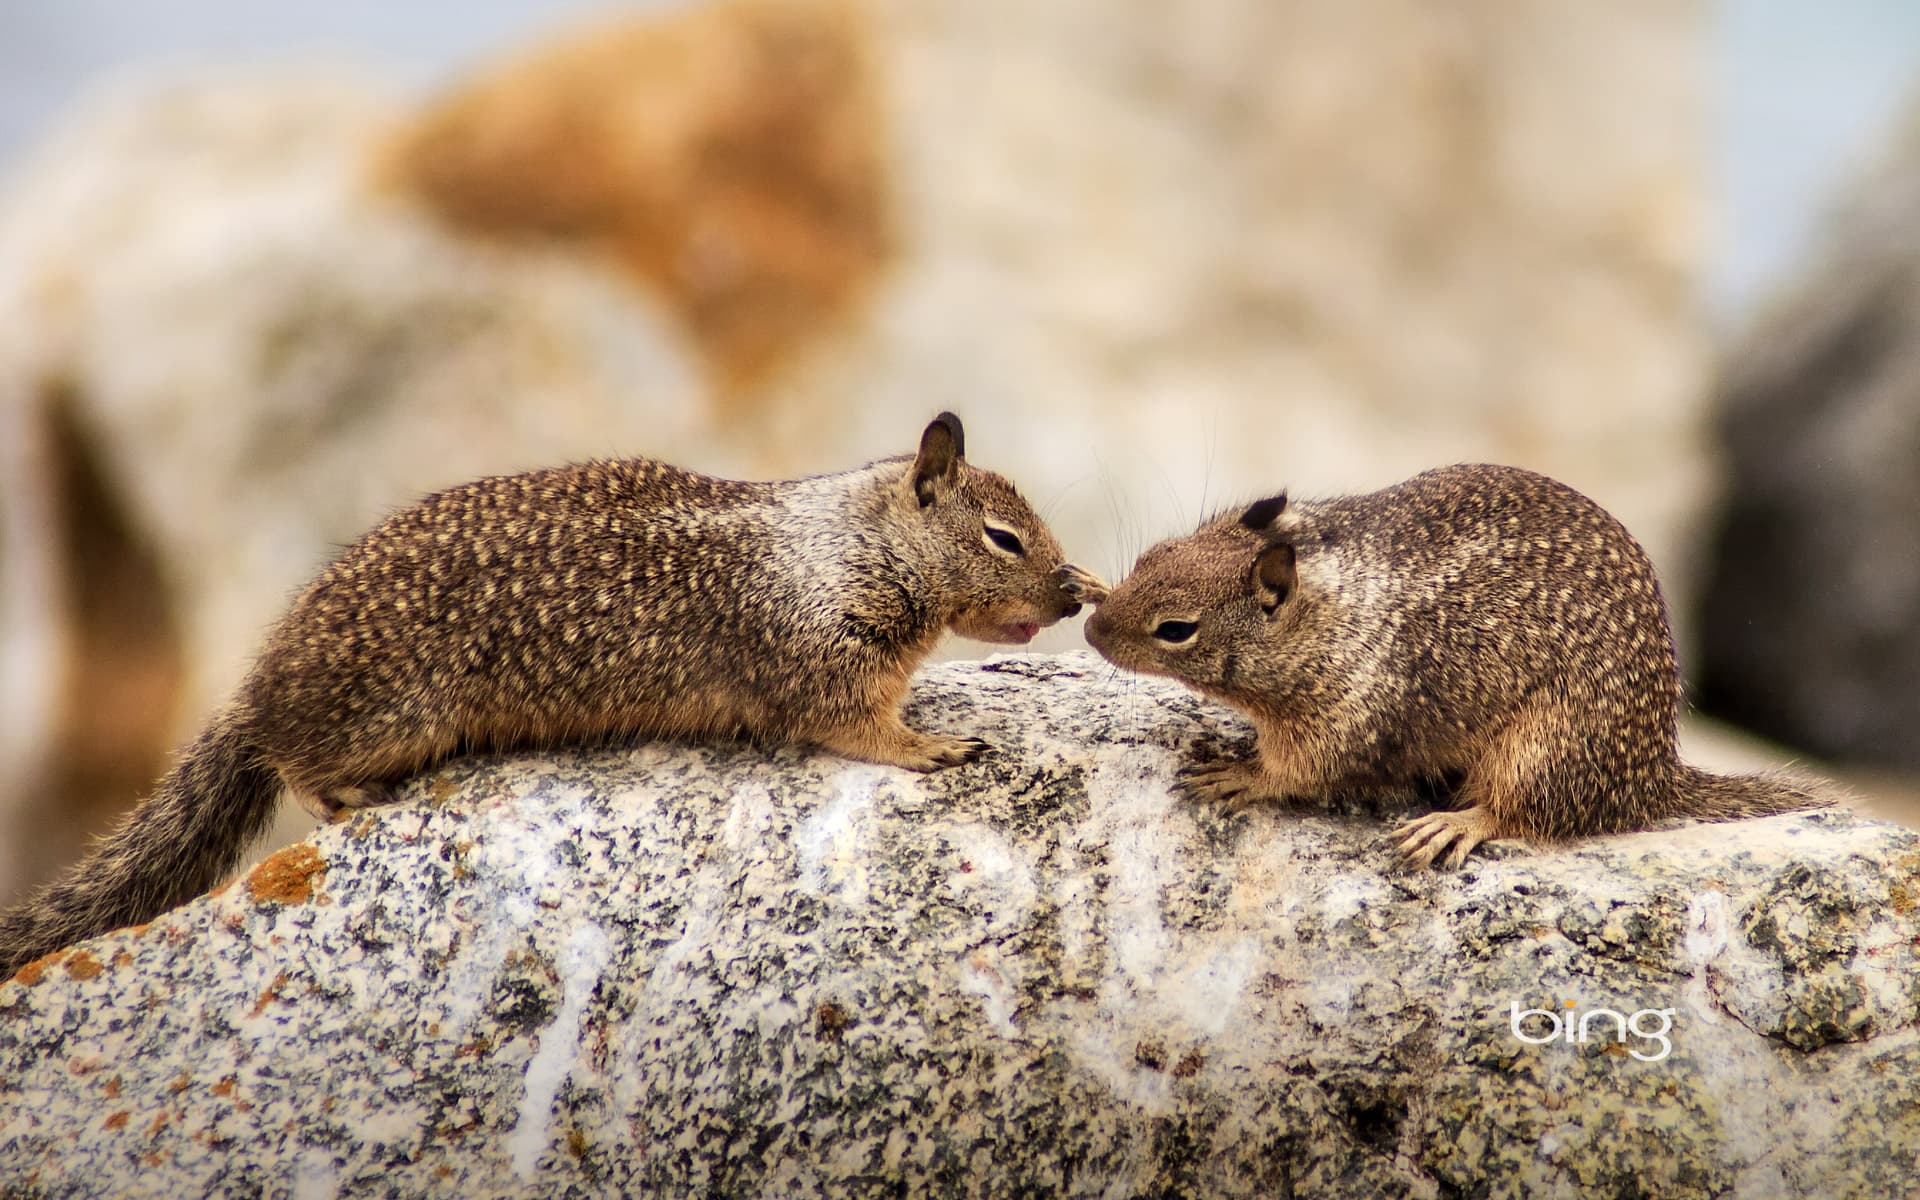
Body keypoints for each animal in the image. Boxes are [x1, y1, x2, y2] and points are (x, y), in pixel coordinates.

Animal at [0, 413, 1105, 978]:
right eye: (1003, 538)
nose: (1067, 591)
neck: (849, 542)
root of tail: (261, 677)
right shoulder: (821, 660)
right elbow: (860, 729)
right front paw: (934, 747)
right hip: (389, 714)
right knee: (293, 758)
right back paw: (345, 794)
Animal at [1083, 463, 1831, 868]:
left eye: (1176, 630)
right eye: (1150, 555)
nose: (1090, 630)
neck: (1329, 616)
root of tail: (1653, 780)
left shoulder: (1347, 719)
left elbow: (1298, 772)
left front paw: (1239, 774)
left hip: (1543, 750)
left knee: (1526, 815)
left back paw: (1454, 824)